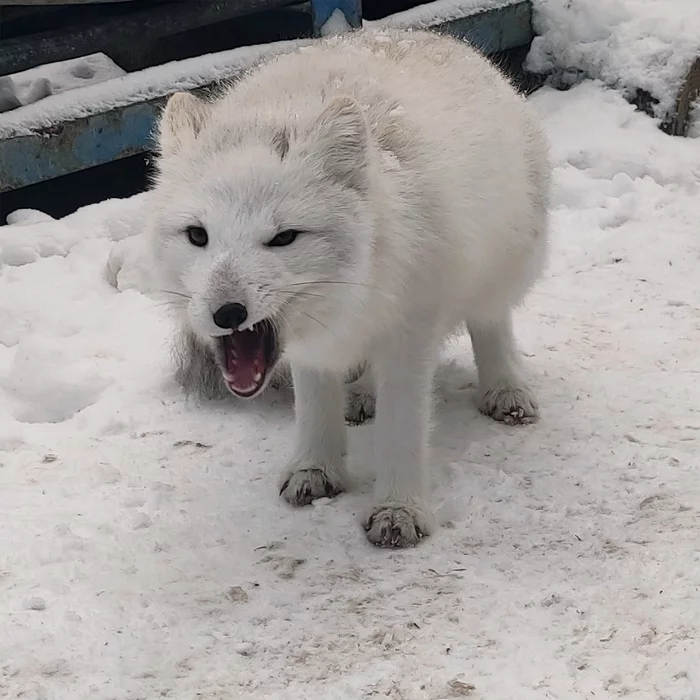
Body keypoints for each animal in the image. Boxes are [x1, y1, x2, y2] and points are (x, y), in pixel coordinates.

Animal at [148, 28, 548, 548]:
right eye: (198, 235)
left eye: (283, 238)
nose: (226, 313)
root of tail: (436, 35)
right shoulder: (313, 348)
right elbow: (315, 407)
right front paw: (314, 469)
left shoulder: (410, 334)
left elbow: (403, 429)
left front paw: (399, 510)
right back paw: (361, 394)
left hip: (502, 269)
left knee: (491, 324)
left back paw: (506, 390)